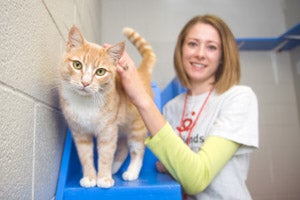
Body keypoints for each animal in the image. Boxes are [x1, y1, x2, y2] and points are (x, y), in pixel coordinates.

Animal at [59, 26, 156, 188]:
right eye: (77, 64)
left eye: (100, 72)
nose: (85, 83)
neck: (85, 103)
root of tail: (139, 74)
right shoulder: (80, 132)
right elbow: (85, 156)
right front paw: (90, 177)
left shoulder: (108, 130)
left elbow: (105, 154)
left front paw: (104, 178)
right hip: (121, 127)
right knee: (123, 147)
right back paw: (114, 168)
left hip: (136, 127)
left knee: (137, 150)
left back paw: (131, 172)